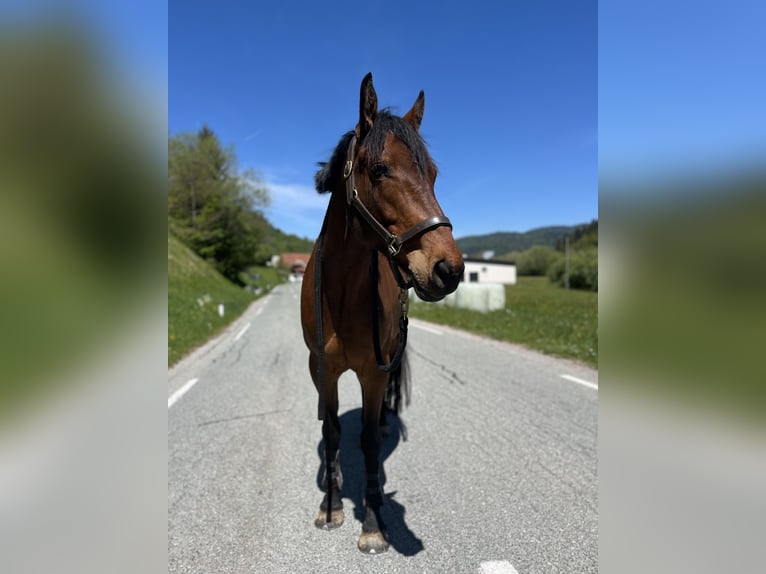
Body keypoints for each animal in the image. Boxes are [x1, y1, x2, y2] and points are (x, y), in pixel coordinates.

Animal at [300, 73, 464, 554]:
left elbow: (370, 442)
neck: (341, 294)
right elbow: (332, 432)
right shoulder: (322, 368)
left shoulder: (374, 371)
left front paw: (373, 521)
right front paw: (331, 505)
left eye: (433, 174)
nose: (449, 269)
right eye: (379, 170)